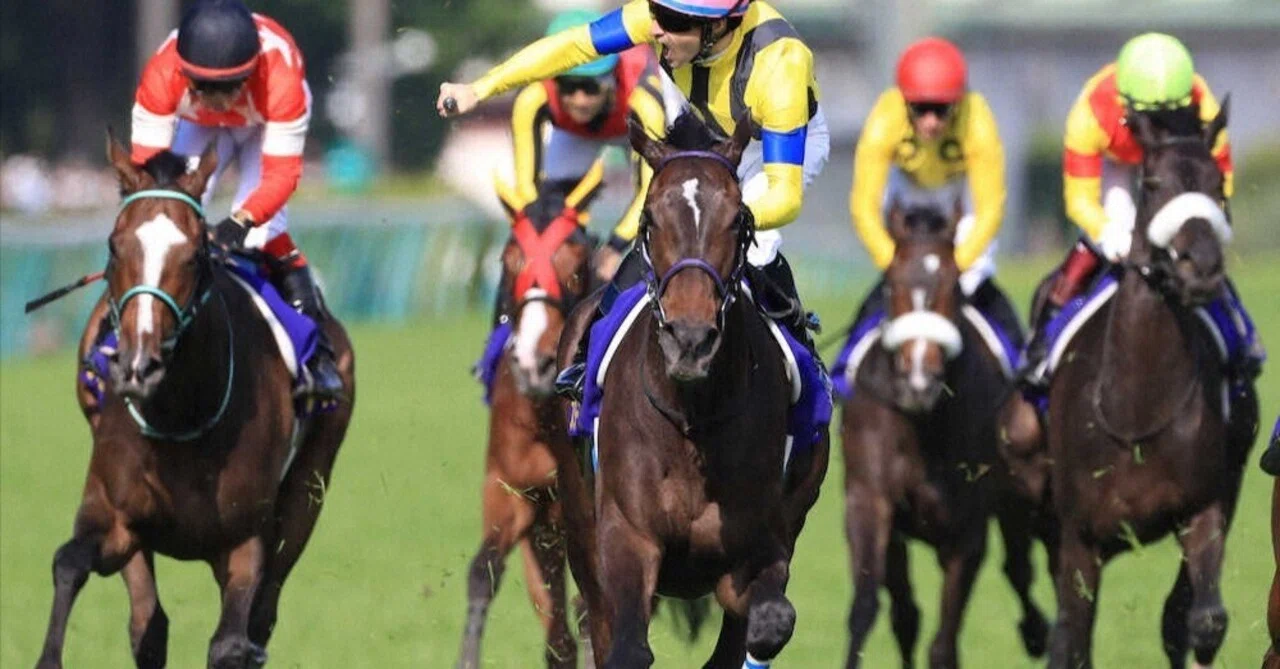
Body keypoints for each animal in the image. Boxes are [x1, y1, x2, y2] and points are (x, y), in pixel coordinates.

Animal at [37, 134, 356, 669]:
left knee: (261, 617)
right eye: (114, 245)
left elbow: (230, 643)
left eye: (193, 255)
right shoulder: (117, 517)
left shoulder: (244, 538)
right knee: (148, 625)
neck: (180, 410)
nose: (138, 366)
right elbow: (69, 562)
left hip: (307, 490)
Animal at [455, 168, 603, 669]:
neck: (544, 421)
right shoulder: (513, 491)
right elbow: (483, 571)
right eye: (509, 259)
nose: (534, 363)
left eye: (579, 259)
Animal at [547, 112, 830, 669]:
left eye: (739, 221)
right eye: (650, 220)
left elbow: (768, 619)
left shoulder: (766, 536)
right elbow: (626, 646)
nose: (691, 341)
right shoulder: (625, 535)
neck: (694, 417)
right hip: (578, 522)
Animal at [839, 205, 1049, 669]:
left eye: (953, 285)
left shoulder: (966, 530)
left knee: (1019, 569)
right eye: (892, 282)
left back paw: (1037, 632)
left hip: (1017, 495)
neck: (922, 425)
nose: (919, 380)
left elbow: (944, 643)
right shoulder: (872, 503)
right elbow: (872, 608)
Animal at [1041, 102, 1255, 669]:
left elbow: (1201, 621)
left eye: (1217, 184)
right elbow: (1073, 637)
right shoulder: (1078, 539)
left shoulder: (1204, 508)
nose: (1201, 266)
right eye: (1154, 183)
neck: (1137, 407)